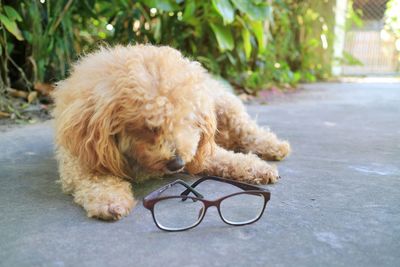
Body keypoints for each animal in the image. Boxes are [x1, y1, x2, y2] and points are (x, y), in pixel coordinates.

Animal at [53, 45, 290, 221]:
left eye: (187, 121)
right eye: (150, 126)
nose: (177, 164)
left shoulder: (198, 149)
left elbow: (227, 158)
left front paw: (257, 167)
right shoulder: (82, 157)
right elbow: (96, 177)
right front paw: (109, 199)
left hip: (224, 105)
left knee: (246, 128)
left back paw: (274, 146)